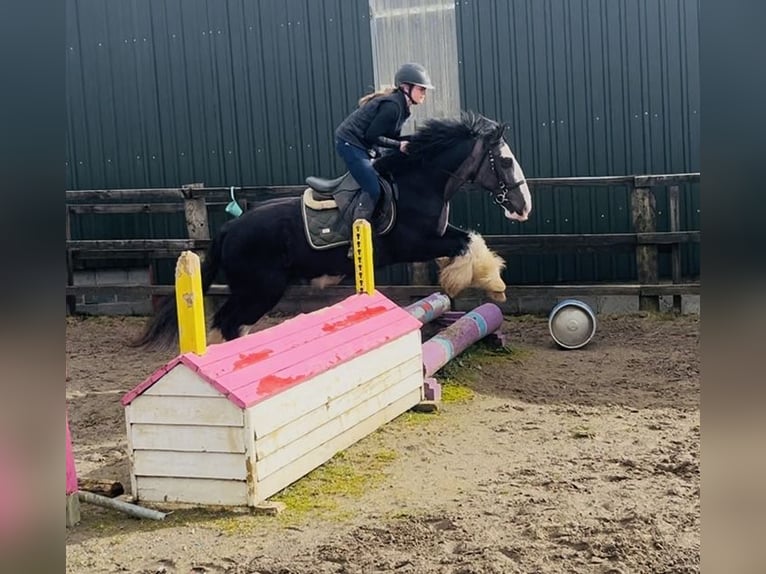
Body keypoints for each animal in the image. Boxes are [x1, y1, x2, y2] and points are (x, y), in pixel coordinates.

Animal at [134, 111, 532, 348]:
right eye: (505, 161)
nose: (524, 206)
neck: (420, 181)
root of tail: (228, 229)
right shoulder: (415, 244)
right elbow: (465, 242)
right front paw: (489, 284)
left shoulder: (435, 237)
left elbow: (469, 240)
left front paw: (484, 281)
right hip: (260, 289)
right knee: (229, 321)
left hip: (254, 290)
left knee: (232, 322)